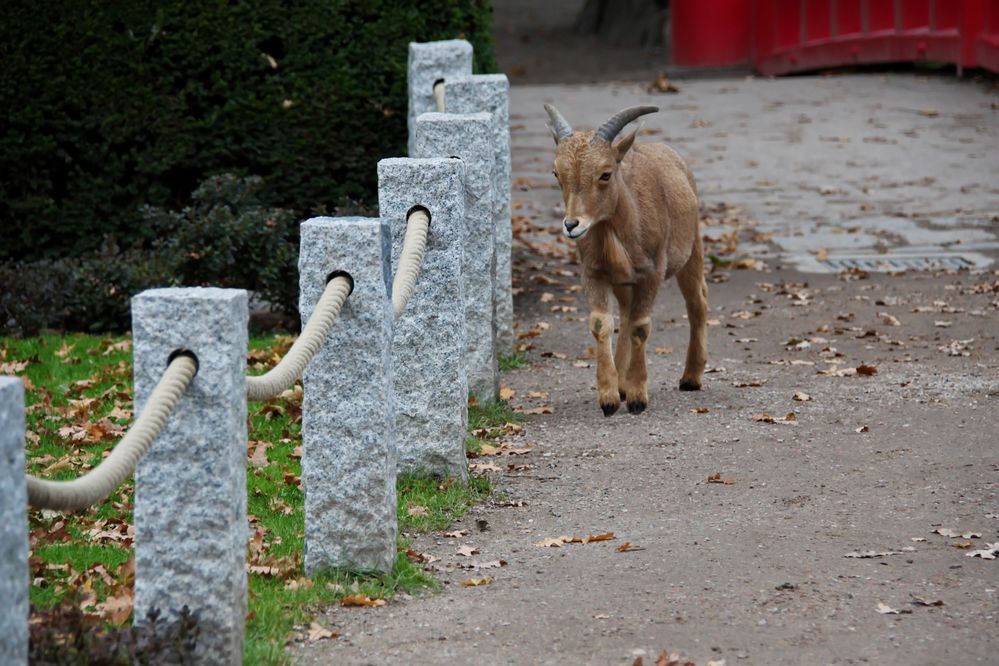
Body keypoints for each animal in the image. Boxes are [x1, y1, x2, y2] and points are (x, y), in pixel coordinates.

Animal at [544, 104, 708, 416]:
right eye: (556, 173)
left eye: (606, 174)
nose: (572, 225)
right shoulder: (594, 273)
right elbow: (602, 324)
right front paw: (609, 398)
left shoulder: (651, 273)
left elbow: (641, 327)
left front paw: (637, 397)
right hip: (623, 282)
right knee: (626, 312)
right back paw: (621, 383)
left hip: (692, 248)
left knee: (697, 303)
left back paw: (691, 377)